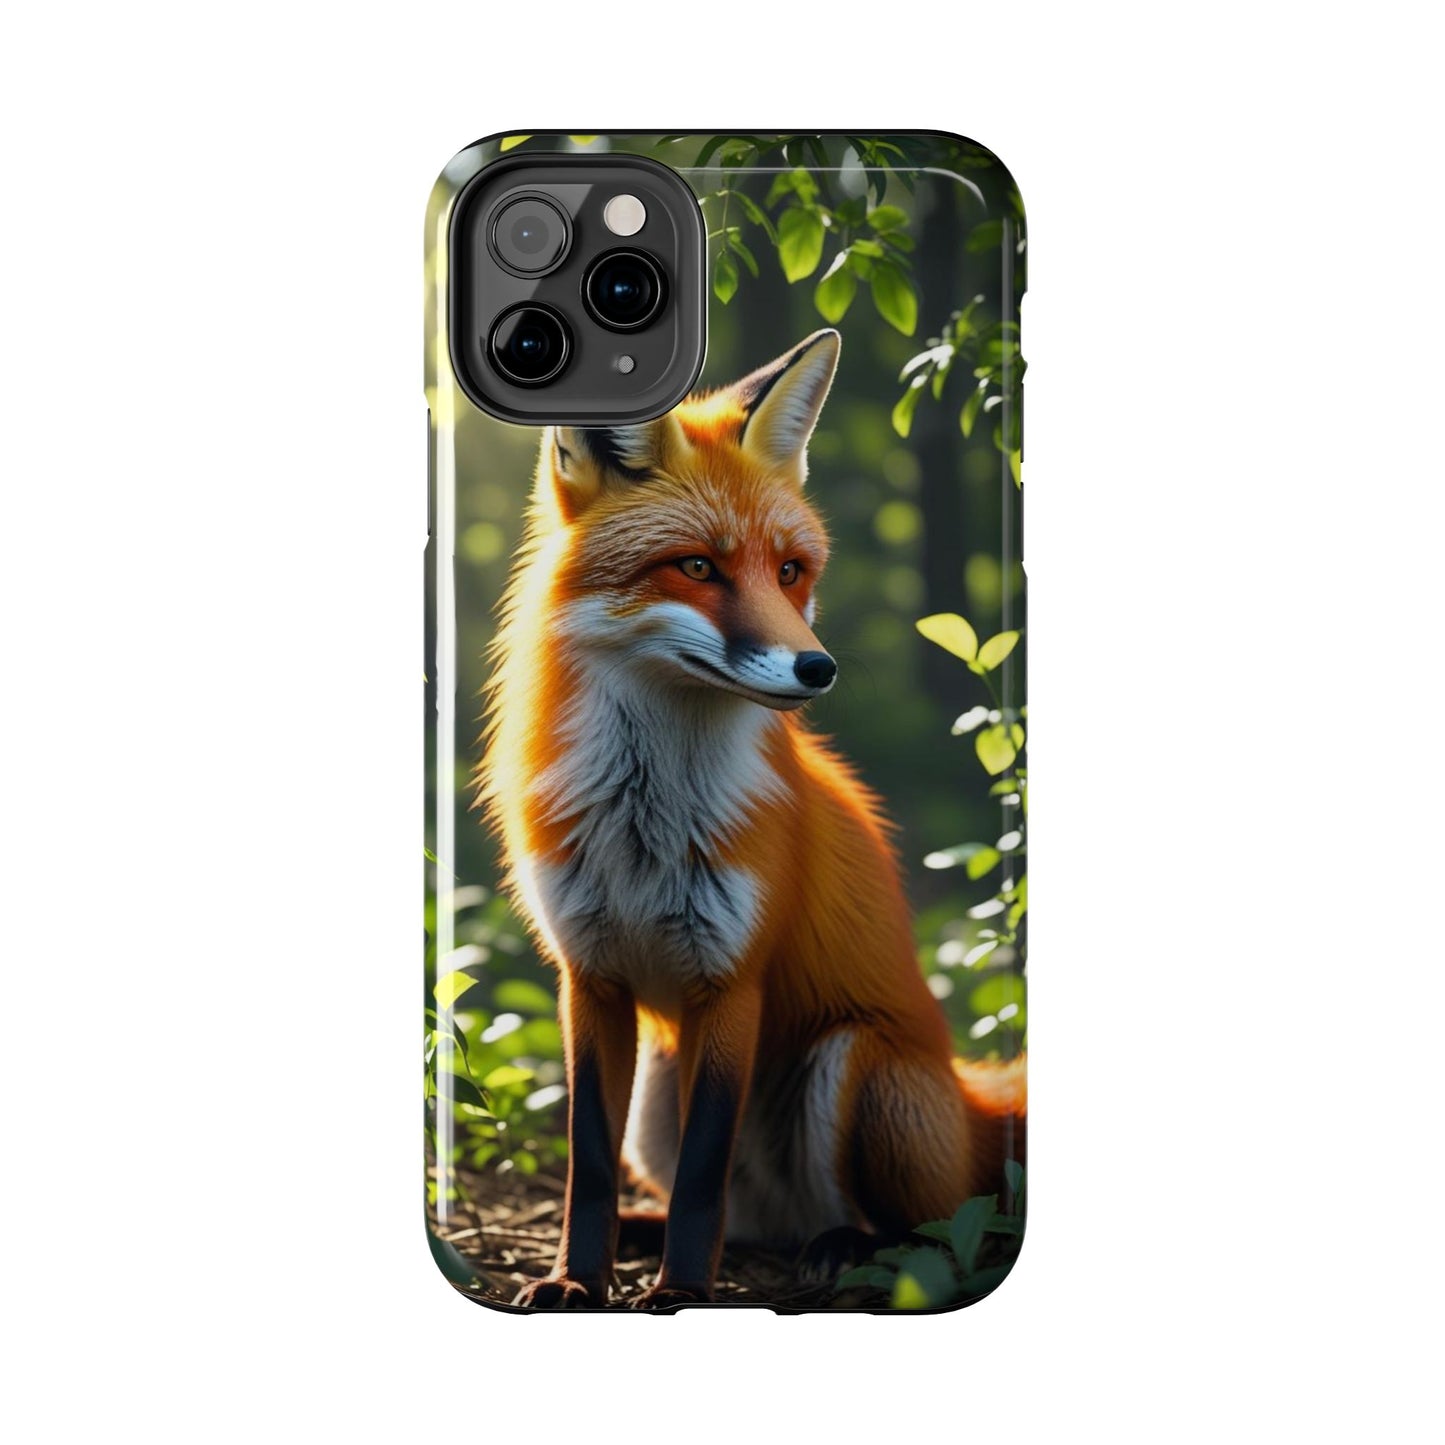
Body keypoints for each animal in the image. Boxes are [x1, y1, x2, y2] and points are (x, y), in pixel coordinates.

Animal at [478, 328, 1025, 1309]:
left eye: (789, 571)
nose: (818, 668)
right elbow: (588, 1160)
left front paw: (679, 1293)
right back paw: (655, 1231)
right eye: (697, 565)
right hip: (656, 1097)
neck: (644, 825)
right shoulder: (590, 977)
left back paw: (841, 1247)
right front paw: (577, 1277)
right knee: (746, 1220)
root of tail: (971, 1098)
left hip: (854, 1067)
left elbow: (704, 1168)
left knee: (920, 1228)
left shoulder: (730, 981)